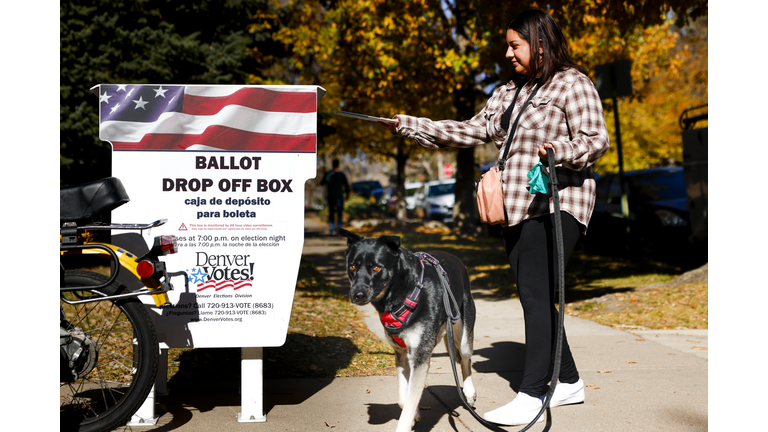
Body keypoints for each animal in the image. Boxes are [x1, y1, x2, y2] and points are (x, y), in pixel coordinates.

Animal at [340, 230, 476, 432]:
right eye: (352, 267)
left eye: (376, 268)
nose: (357, 295)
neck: (404, 292)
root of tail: (454, 256)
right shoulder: (402, 354)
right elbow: (404, 399)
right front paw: (416, 414)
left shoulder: (420, 357)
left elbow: (410, 401)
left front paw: (406, 422)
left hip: (464, 333)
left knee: (466, 359)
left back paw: (469, 392)